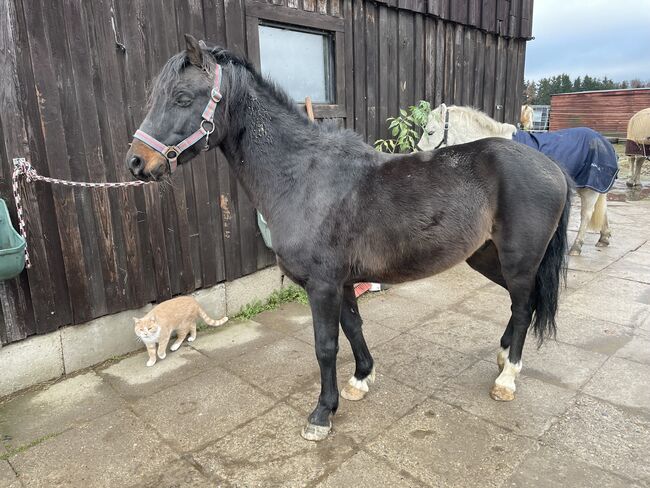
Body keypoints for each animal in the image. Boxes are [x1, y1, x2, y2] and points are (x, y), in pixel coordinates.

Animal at [124, 36, 568, 442]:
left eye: (182, 97)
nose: (136, 162)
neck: (303, 176)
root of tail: (552, 167)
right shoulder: (342, 282)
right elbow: (353, 328)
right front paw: (360, 380)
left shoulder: (322, 285)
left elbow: (325, 346)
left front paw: (322, 414)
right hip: (487, 257)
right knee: (519, 305)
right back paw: (502, 358)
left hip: (518, 261)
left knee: (524, 307)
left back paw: (507, 379)